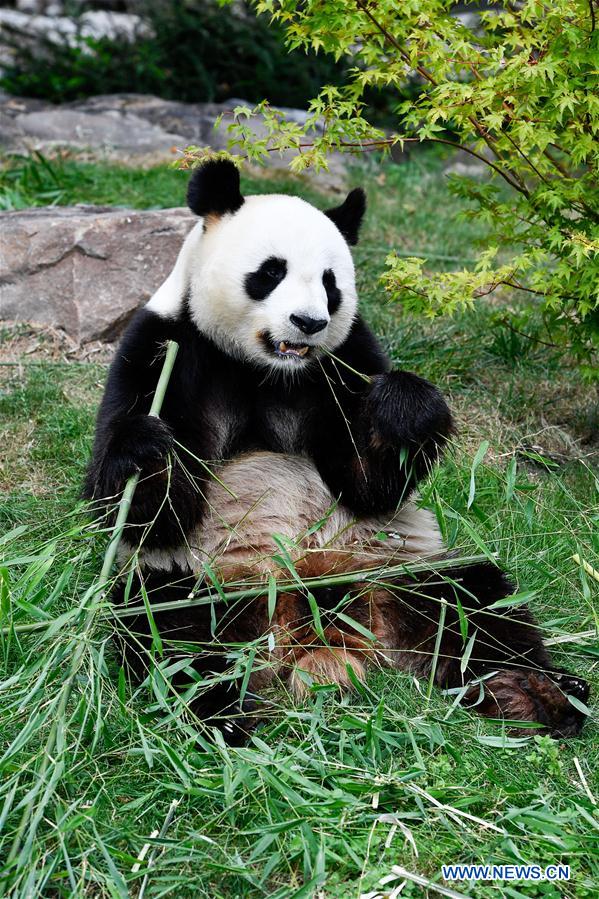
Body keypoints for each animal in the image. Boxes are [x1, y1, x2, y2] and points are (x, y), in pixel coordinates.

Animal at [84, 159, 590, 745]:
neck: (268, 370)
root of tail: (319, 641)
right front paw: (147, 449)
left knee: (477, 605)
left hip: (397, 572)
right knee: (168, 632)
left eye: (331, 286)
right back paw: (224, 717)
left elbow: (371, 484)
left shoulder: (345, 363)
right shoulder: (162, 348)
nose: (309, 323)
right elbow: (139, 511)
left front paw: (404, 408)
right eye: (271, 272)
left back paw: (533, 693)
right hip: (206, 584)